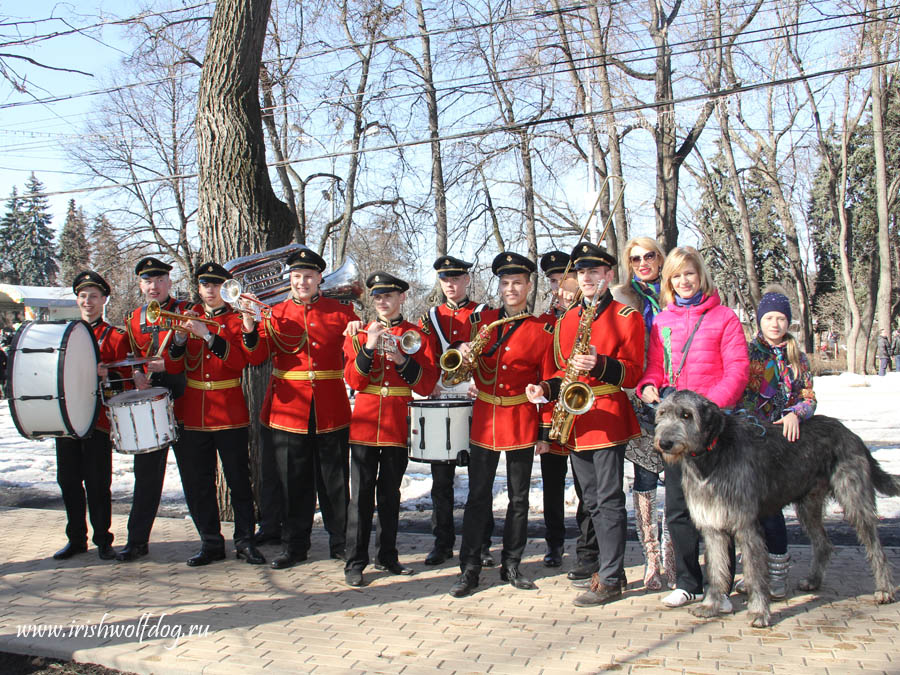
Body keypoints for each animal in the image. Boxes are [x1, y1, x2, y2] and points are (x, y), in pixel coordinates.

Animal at [652, 390, 900, 628]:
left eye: (686, 415)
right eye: (662, 413)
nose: (664, 443)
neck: (711, 453)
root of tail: (852, 435)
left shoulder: (746, 526)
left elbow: (754, 572)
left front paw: (759, 613)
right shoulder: (713, 526)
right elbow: (716, 569)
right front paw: (710, 605)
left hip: (854, 498)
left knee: (875, 546)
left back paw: (885, 590)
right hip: (808, 505)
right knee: (823, 543)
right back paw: (813, 581)